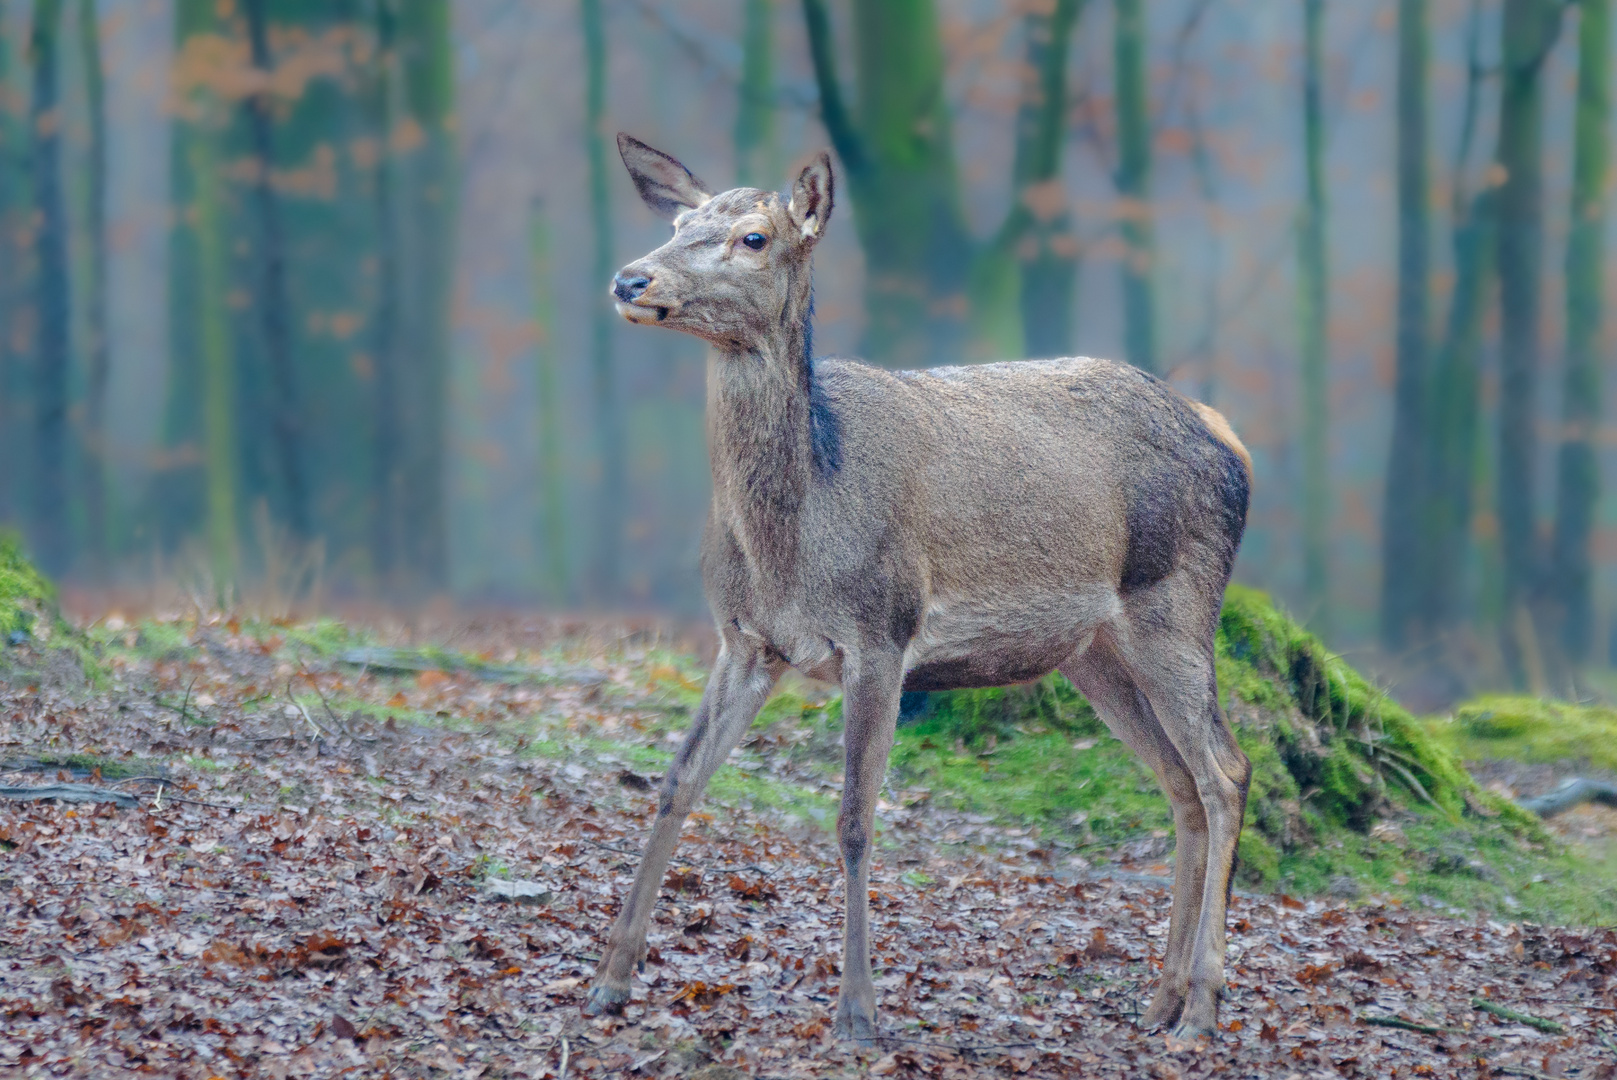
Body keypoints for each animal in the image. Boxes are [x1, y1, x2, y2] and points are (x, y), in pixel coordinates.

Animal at [588, 130, 1254, 1041]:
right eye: (680, 222)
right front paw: (611, 981)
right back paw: (1159, 1000)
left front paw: (857, 1012)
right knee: (1179, 782)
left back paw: (1202, 1009)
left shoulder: (881, 632)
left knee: (1225, 771)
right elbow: (675, 783)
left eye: (754, 237)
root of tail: (1231, 439)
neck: (792, 540)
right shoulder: (746, 640)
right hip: (1094, 651)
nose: (630, 279)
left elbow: (853, 819)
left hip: (1177, 602)